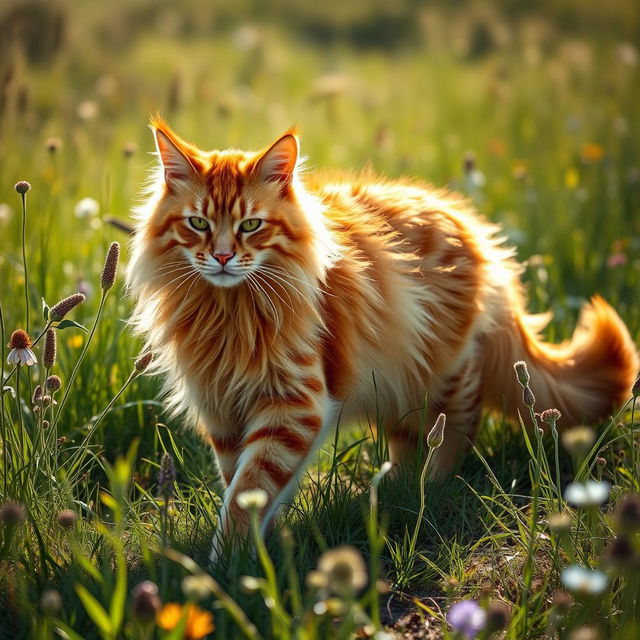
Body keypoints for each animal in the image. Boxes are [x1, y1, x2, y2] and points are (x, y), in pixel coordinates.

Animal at [127, 117, 636, 556]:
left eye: (251, 225)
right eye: (198, 224)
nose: (222, 257)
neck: (227, 310)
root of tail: (472, 226)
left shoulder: (292, 406)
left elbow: (248, 491)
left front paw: (228, 562)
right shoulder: (222, 408)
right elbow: (239, 483)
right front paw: (255, 553)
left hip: (444, 371)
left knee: (457, 424)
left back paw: (430, 485)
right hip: (396, 379)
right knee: (407, 435)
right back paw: (394, 488)